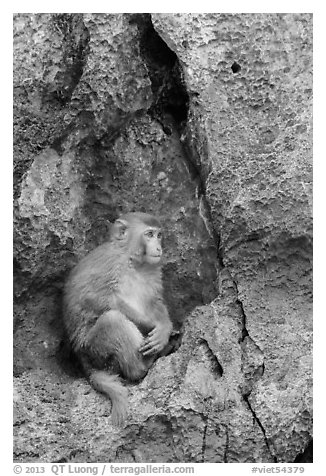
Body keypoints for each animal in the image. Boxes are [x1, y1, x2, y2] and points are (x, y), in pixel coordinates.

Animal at [61, 212, 173, 424]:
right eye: (149, 234)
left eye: (159, 235)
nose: (159, 247)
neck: (133, 262)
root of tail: (83, 362)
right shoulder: (110, 263)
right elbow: (97, 299)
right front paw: (155, 327)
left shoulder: (152, 271)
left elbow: (154, 301)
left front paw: (165, 328)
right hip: (94, 350)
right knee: (112, 319)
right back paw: (142, 367)